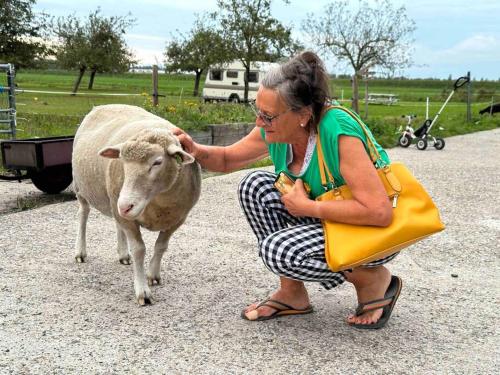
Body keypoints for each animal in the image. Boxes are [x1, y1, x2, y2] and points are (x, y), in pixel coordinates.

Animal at [72, 103, 201, 306]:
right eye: (123, 161)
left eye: (157, 162)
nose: (125, 205)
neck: (158, 202)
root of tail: (101, 105)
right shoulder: (127, 215)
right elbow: (139, 250)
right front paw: (143, 291)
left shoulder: (177, 219)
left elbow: (161, 246)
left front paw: (153, 275)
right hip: (82, 188)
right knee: (83, 215)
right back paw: (80, 252)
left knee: (117, 222)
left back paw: (123, 255)